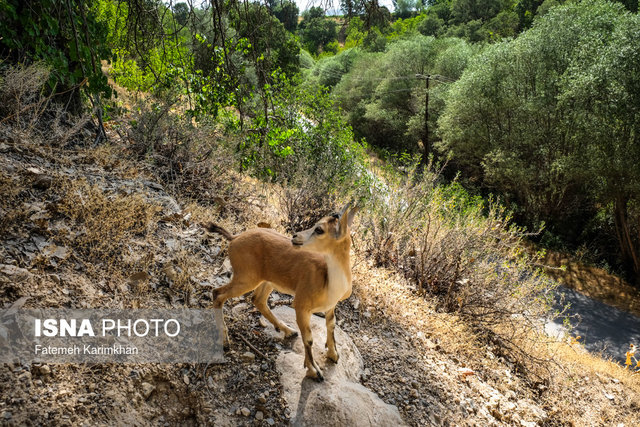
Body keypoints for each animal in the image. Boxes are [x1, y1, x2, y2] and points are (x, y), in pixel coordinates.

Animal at [202, 204, 358, 382]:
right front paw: (314, 371)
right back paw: (225, 340)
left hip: (267, 282)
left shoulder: (331, 306)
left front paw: (333, 355)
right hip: (246, 279)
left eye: (319, 229)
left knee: (257, 300)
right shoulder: (301, 307)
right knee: (218, 293)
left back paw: (289, 330)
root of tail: (235, 238)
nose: (295, 236)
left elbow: (331, 325)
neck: (329, 282)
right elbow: (309, 339)